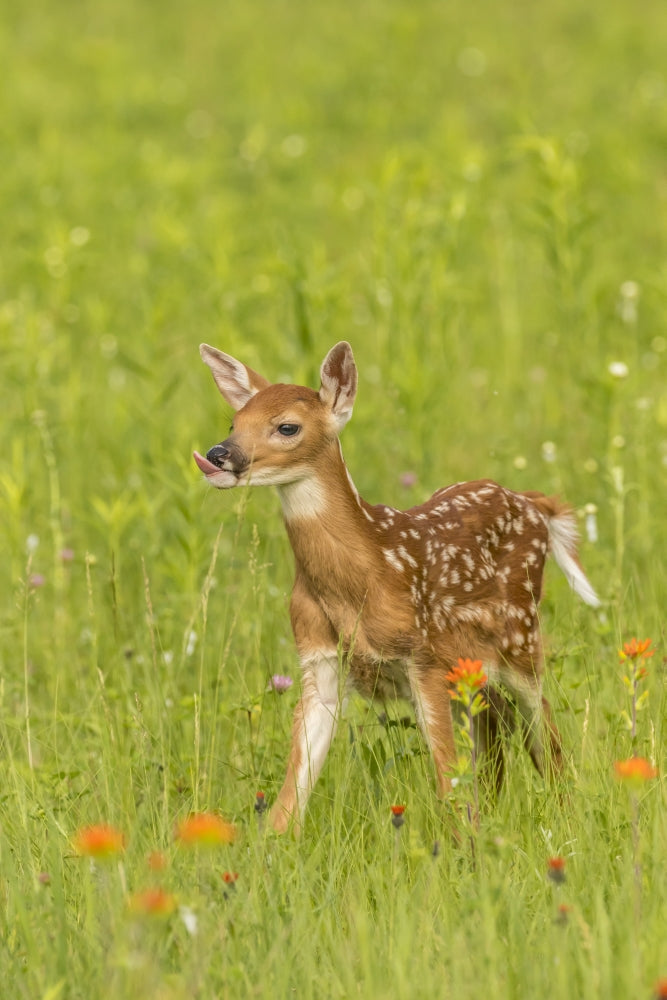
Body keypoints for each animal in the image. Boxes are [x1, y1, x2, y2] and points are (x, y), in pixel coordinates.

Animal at [194, 341, 600, 834]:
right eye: (234, 422)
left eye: (286, 426)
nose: (218, 454)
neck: (361, 579)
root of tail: (533, 503)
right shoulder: (319, 658)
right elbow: (290, 794)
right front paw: (267, 845)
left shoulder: (422, 656)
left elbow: (446, 781)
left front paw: (458, 847)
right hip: (475, 672)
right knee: (495, 740)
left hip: (521, 640)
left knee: (545, 735)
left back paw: (566, 819)